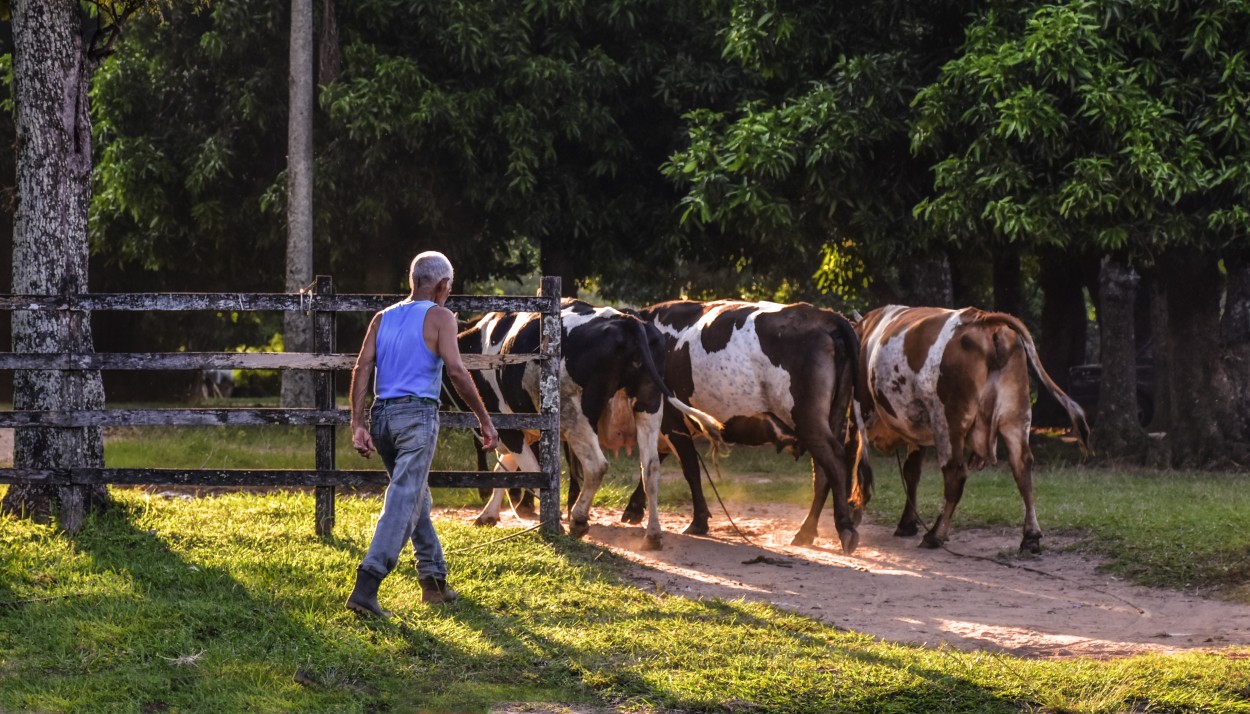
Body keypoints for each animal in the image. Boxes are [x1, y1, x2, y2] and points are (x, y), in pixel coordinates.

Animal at [457, 298, 725, 550]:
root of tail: (628, 322)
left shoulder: (508, 426)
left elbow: (527, 470)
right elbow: (504, 469)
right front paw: (488, 514)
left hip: (576, 415)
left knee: (597, 466)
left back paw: (578, 519)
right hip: (648, 405)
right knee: (650, 468)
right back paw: (652, 536)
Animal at [630, 298, 875, 555]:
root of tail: (825, 315)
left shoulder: (672, 422)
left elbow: (688, 470)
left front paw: (698, 521)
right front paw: (634, 507)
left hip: (808, 420)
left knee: (835, 461)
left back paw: (844, 528)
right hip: (832, 417)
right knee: (823, 472)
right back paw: (806, 531)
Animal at [855, 306, 1090, 552]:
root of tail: (983, 319)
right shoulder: (915, 428)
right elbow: (911, 472)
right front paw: (907, 523)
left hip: (947, 422)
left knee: (955, 474)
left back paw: (935, 535)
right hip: (1016, 415)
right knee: (1022, 467)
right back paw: (1030, 536)